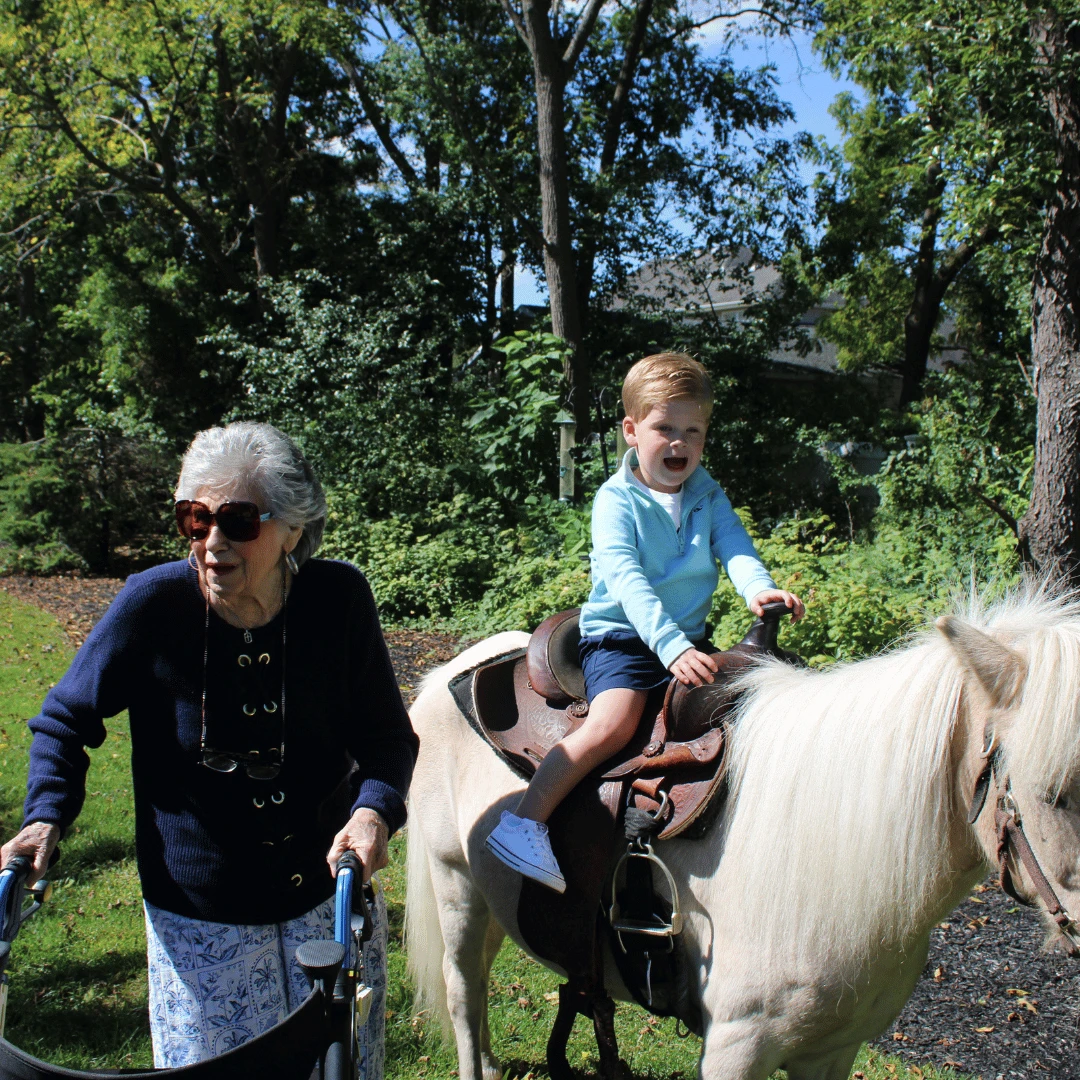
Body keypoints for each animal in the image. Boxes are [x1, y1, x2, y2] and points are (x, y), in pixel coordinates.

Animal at [404, 586, 1080, 1080]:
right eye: (1054, 792)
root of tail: (451, 672)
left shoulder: (832, 1053)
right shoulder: (737, 1046)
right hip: (454, 883)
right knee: (464, 991)